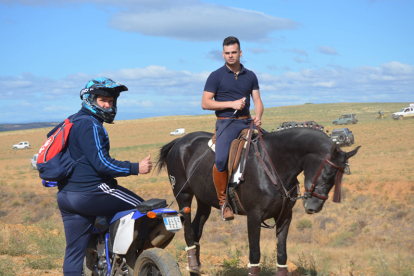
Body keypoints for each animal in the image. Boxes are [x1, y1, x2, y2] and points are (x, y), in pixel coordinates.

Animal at [155, 128, 360, 274]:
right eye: (327, 174)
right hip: (184, 196)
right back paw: (192, 265)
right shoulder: (253, 217)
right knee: (189, 231)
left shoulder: (285, 216)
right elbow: (255, 256)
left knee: (197, 228)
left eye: (338, 178)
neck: (274, 164)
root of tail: (179, 141)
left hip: (204, 200)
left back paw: (196, 267)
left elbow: (282, 255)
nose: (313, 207)